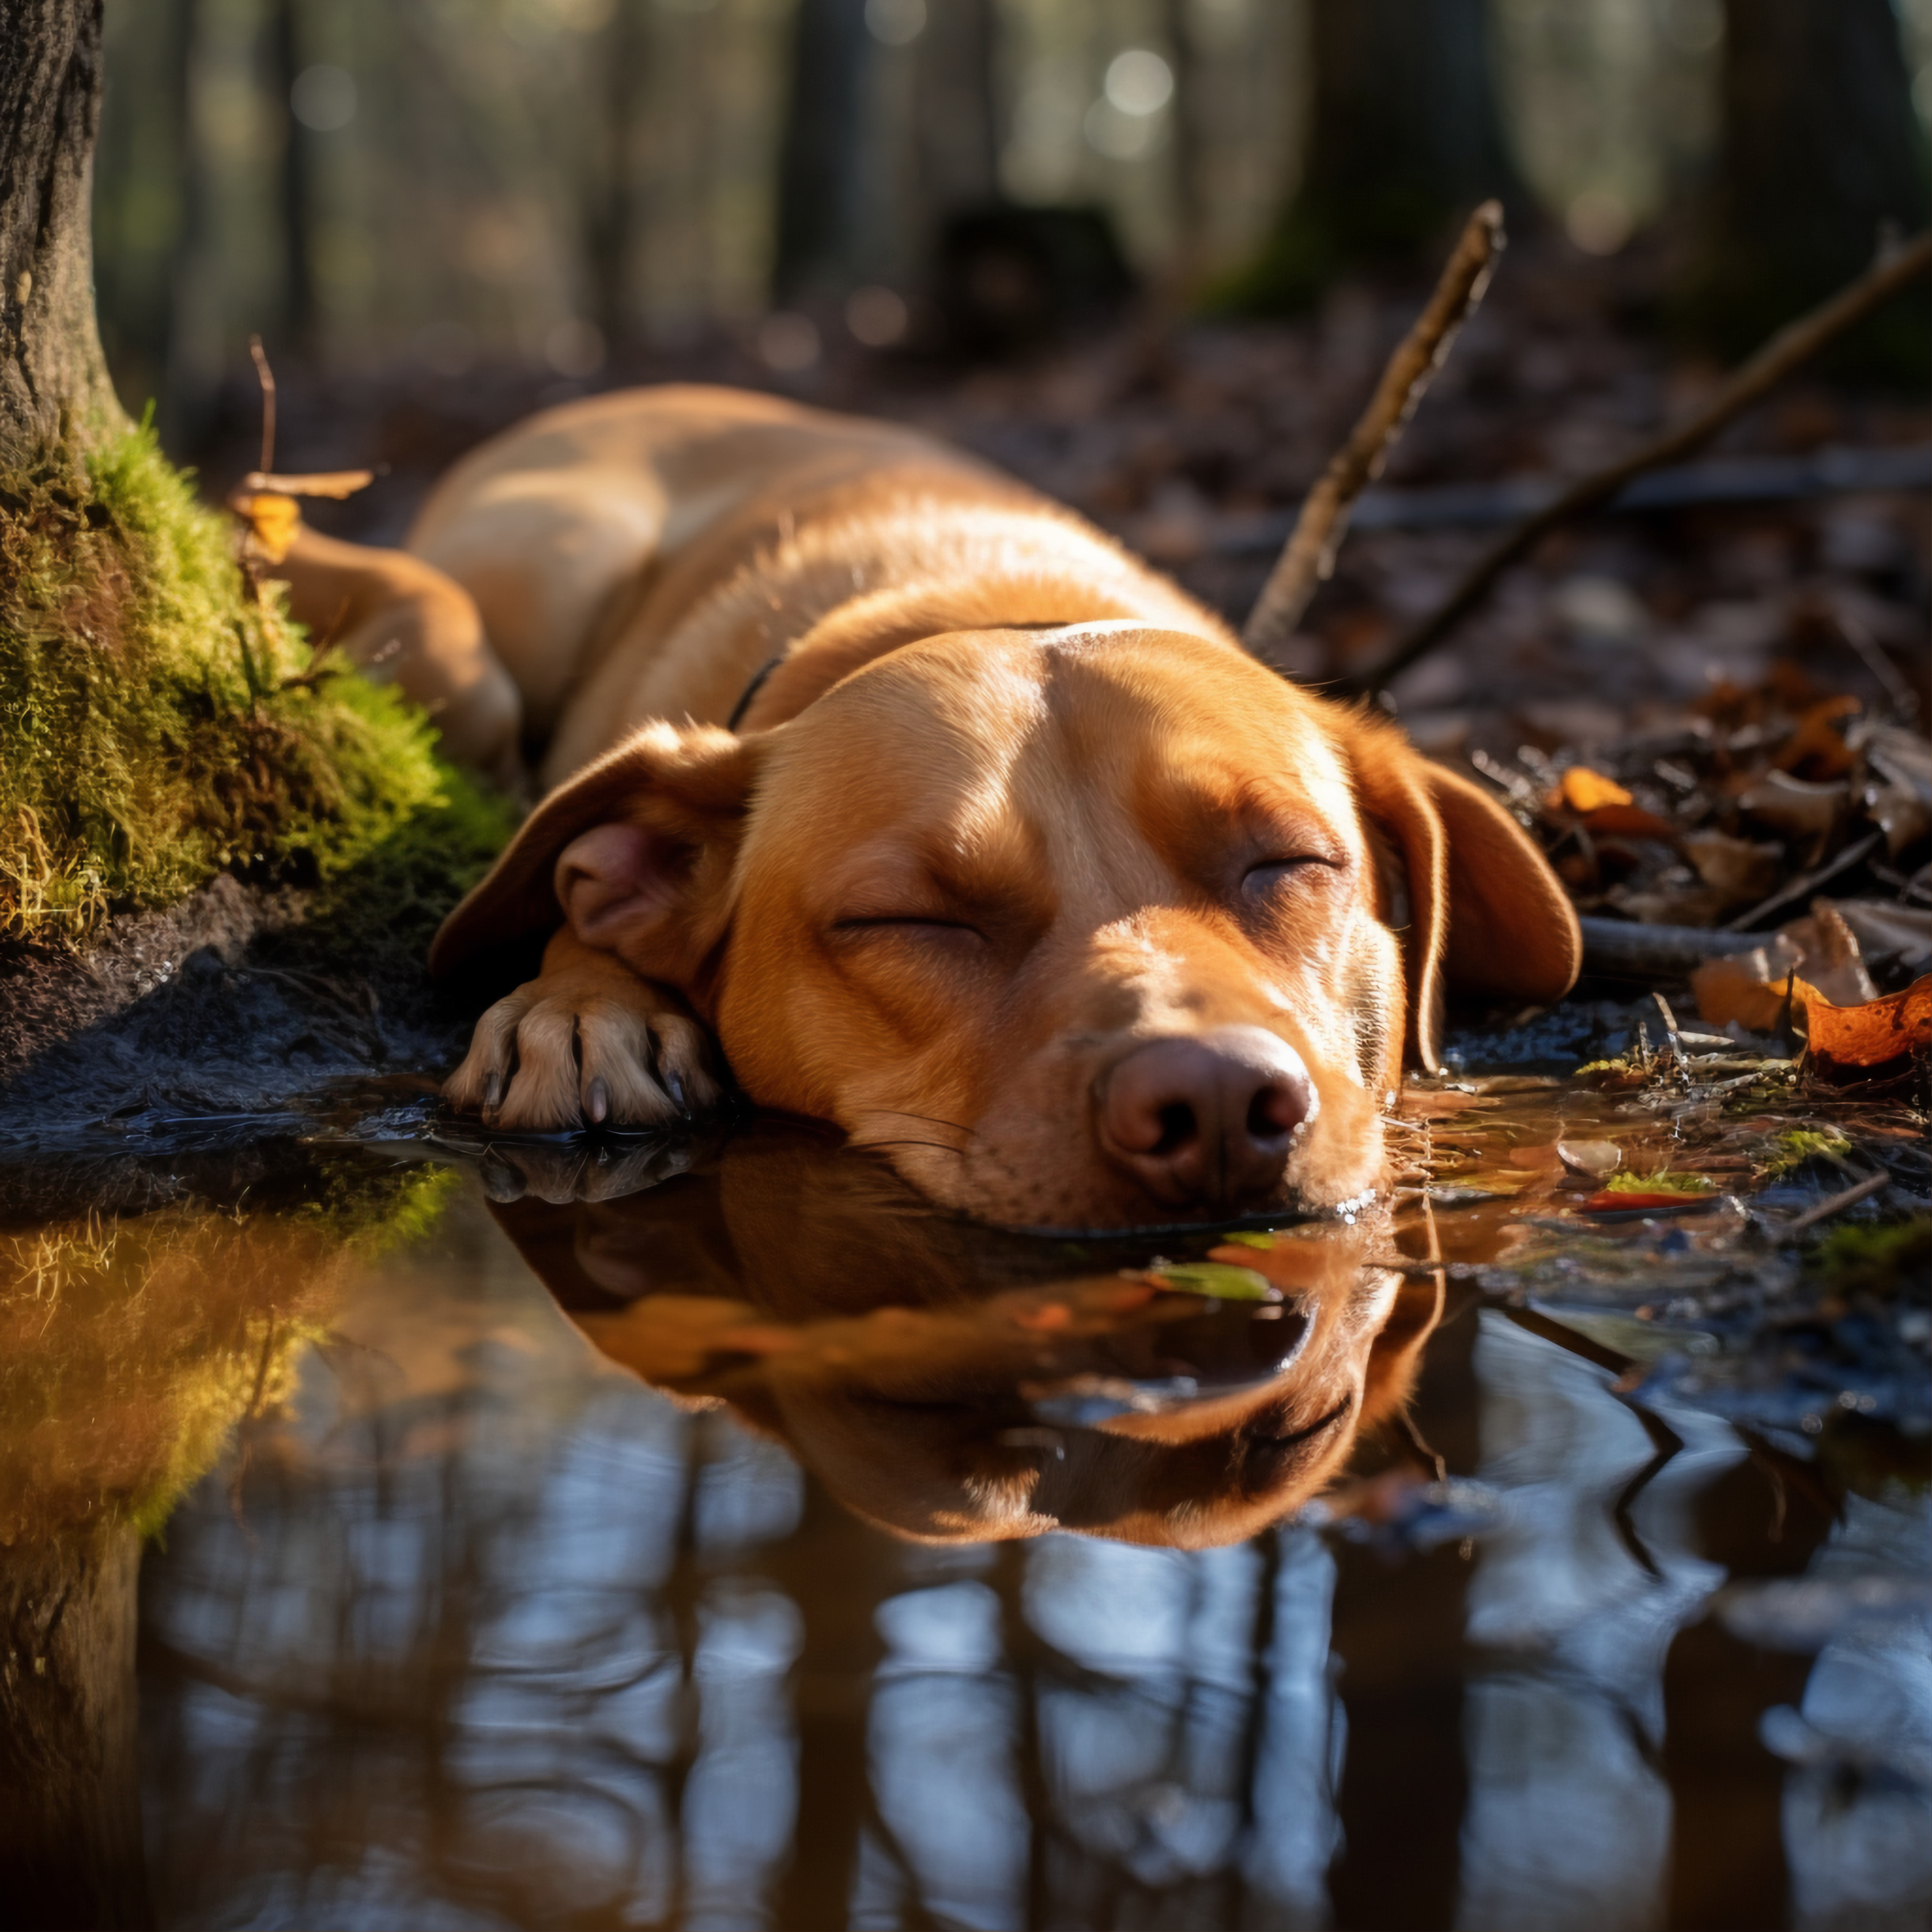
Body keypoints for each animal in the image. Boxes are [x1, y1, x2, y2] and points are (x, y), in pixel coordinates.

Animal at [272, 386, 1576, 1229]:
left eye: (1291, 863)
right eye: (909, 920)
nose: (1210, 1100)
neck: (981, 595)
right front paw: (582, 1002)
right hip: (530, 581)